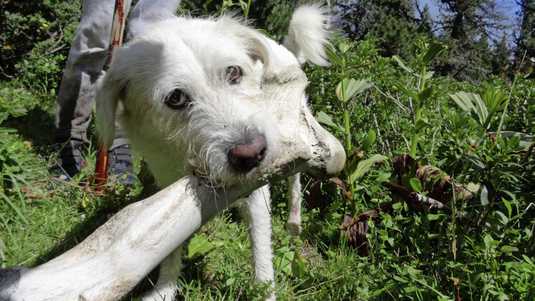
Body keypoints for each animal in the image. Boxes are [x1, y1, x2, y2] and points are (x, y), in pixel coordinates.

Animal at [96, 5, 344, 300]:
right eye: (175, 98)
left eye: (234, 72)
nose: (251, 154)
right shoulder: (168, 186)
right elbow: (170, 243)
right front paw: (165, 288)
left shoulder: (258, 191)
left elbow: (262, 253)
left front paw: (265, 291)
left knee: (296, 174)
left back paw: (294, 221)